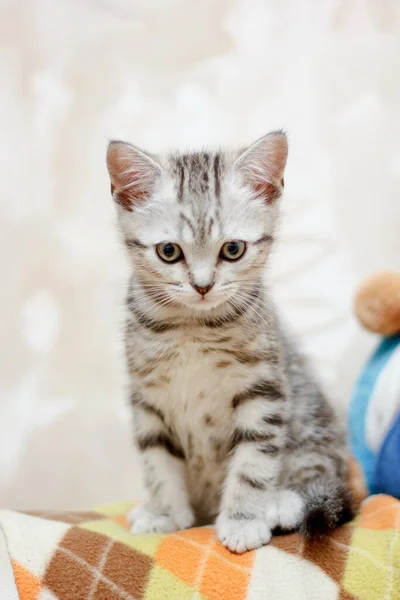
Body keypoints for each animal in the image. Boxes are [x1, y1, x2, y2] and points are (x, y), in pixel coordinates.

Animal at [104, 131, 352, 552]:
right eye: (168, 251)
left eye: (232, 249)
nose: (203, 285)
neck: (191, 328)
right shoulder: (147, 399)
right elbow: (157, 462)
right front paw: (163, 513)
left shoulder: (263, 391)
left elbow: (253, 463)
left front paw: (243, 520)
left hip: (311, 422)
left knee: (319, 471)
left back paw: (281, 504)